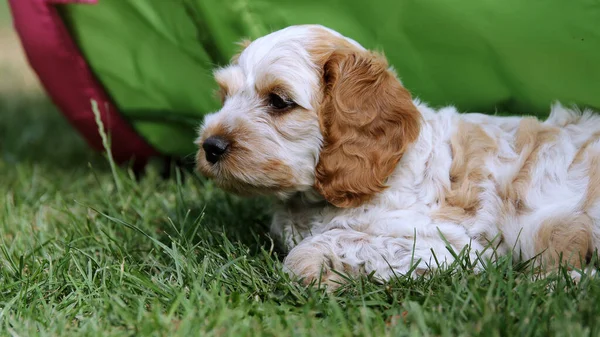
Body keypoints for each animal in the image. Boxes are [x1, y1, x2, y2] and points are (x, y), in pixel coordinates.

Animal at [197, 24, 600, 286]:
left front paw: (322, 272)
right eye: (224, 96)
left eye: (279, 101)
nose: (210, 147)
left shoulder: (453, 245)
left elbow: (325, 246)